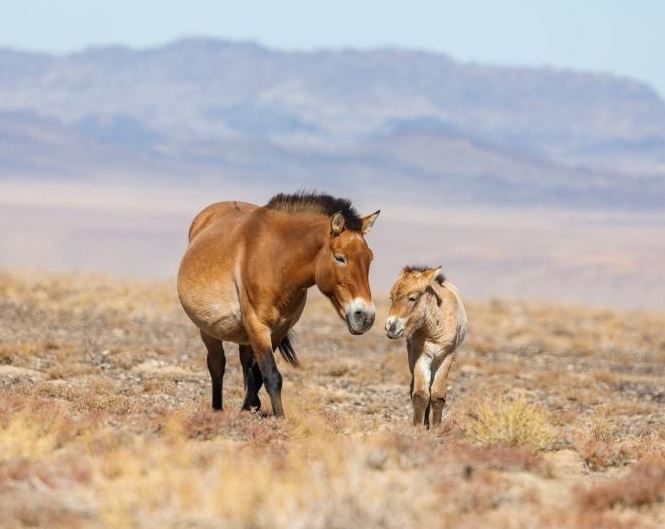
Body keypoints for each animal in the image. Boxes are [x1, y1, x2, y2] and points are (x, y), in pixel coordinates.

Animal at [176, 191, 378, 416]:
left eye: (369, 258)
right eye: (340, 258)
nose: (366, 316)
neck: (275, 259)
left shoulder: (278, 330)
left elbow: (258, 375)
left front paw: (250, 408)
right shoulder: (258, 325)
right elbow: (272, 376)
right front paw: (279, 418)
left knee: (245, 363)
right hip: (208, 330)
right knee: (217, 364)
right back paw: (217, 409)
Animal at [384, 266, 466, 426]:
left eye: (412, 298)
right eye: (391, 297)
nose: (390, 328)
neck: (433, 330)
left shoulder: (446, 357)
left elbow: (438, 395)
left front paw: (436, 427)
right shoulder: (420, 356)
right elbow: (421, 394)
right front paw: (417, 427)